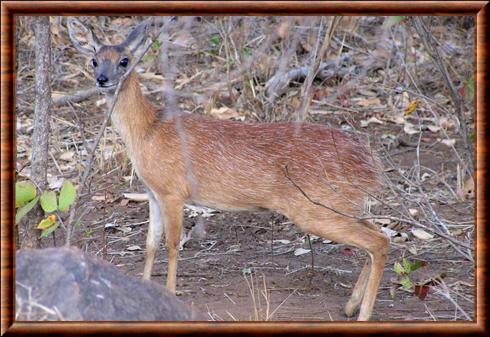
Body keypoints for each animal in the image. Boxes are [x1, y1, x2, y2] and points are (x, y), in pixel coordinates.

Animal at [69, 18, 390, 320]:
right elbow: (150, 243)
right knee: (377, 233)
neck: (147, 131)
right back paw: (350, 305)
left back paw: (364, 313)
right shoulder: (152, 192)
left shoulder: (173, 191)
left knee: (378, 241)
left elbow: (172, 244)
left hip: (315, 208)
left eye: (124, 60)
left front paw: (170, 294)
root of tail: (370, 163)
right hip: (342, 204)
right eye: (94, 59)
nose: (102, 79)